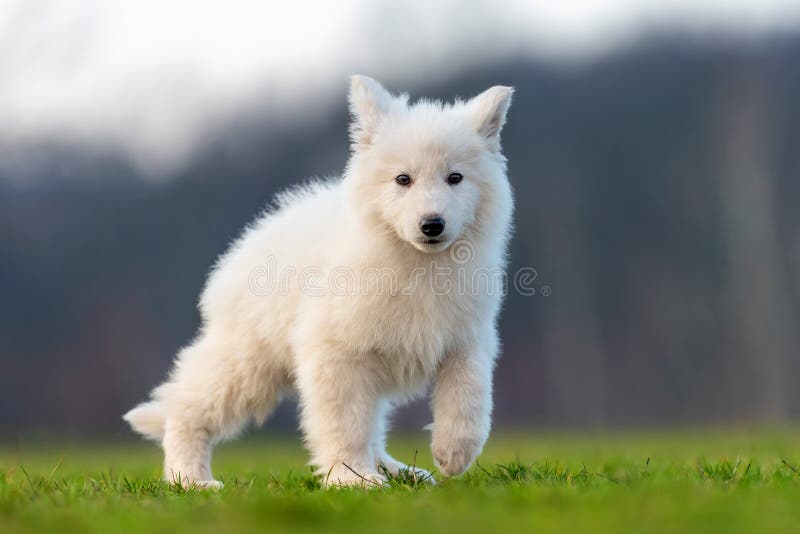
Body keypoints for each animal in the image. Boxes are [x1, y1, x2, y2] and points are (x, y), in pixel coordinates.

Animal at [122, 76, 516, 490]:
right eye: (402, 179)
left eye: (455, 178)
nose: (432, 224)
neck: (416, 264)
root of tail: (253, 237)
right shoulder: (337, 353)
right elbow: (345, 425)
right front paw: (353, 480)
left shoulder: (466, 340)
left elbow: (468, 397)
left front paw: (453, 454)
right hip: (248, 363)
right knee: (186, 406)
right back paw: (190, 480)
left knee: (375, 429)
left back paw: (401, 472)